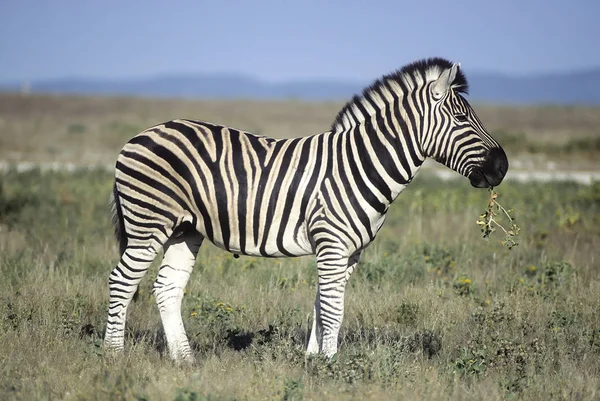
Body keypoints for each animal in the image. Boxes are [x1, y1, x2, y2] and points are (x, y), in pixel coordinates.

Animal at [102, 57, 506, 362]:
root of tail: (139, 135)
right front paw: (331, 363)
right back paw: (113, 355)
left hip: (185, 229)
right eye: (461, 119)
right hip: (148, 223)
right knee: (121, 281)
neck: (361, 164)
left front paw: (313, 357)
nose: (502, 167)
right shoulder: (331, 243)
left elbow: (322, 302)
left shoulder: (349, 252)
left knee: (166, 287)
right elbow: (333, 307)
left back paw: (184, 360)